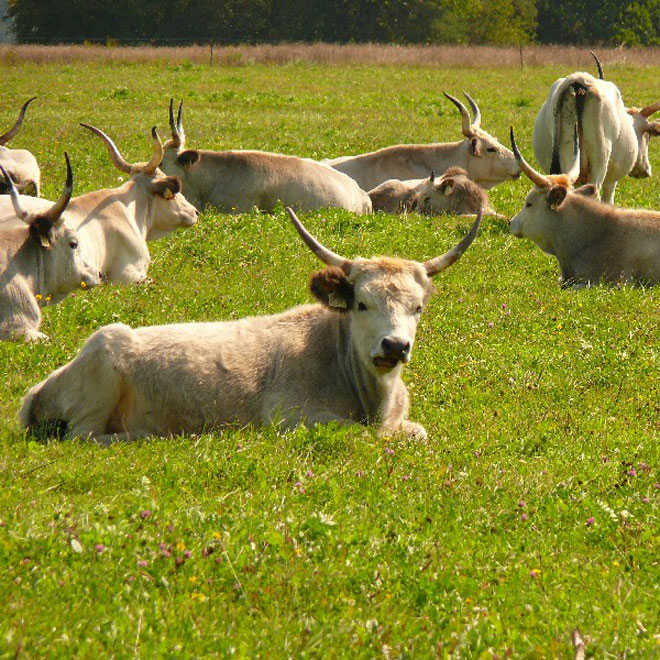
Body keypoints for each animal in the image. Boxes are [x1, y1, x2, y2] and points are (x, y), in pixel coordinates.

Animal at [20, 206, 482, 444]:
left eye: (418, 307)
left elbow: (419, 433)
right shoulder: (289, 415)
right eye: (362, 304)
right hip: (102, 368)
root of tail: (40, 387)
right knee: (84, 435)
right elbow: (357, 434)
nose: (395, 346)